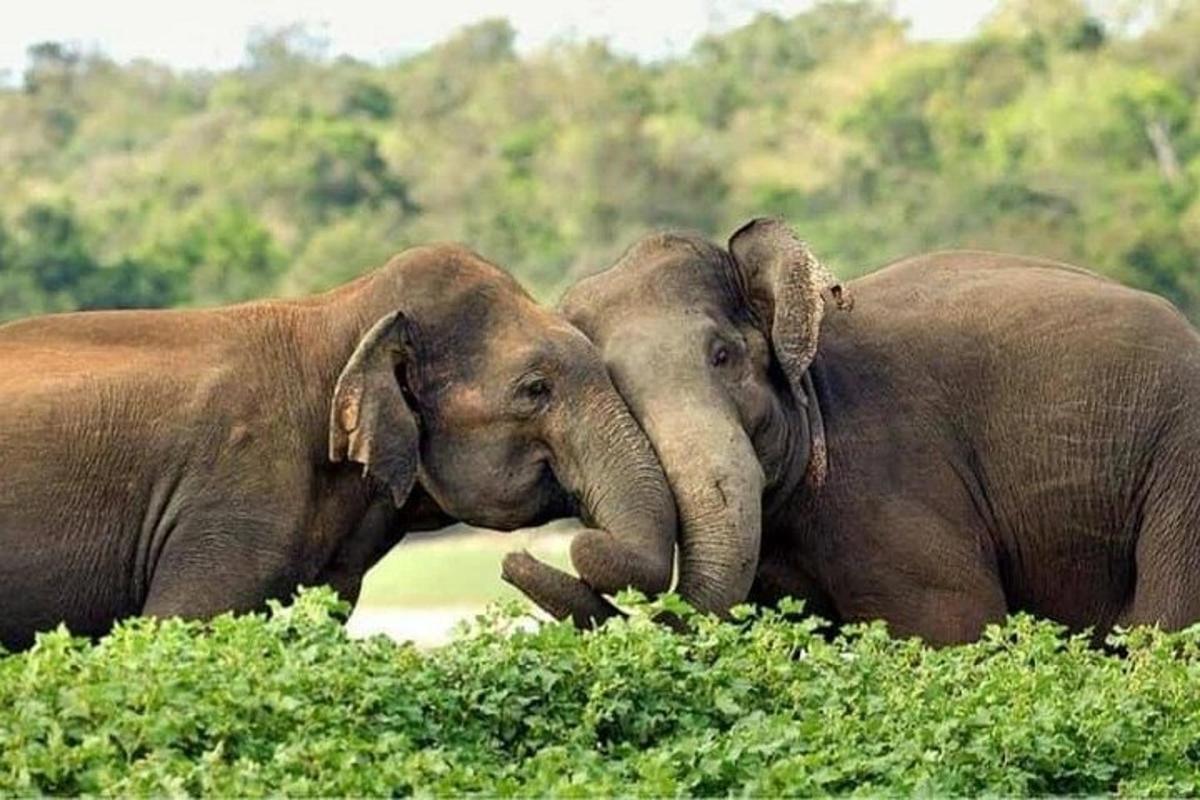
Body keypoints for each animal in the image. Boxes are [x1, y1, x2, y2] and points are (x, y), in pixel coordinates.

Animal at [504, 220, 1200, 652]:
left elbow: (952, 625)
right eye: (616, 388)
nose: (516, 560)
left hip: (1182, 468)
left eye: (723, 356)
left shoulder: (891, 481)